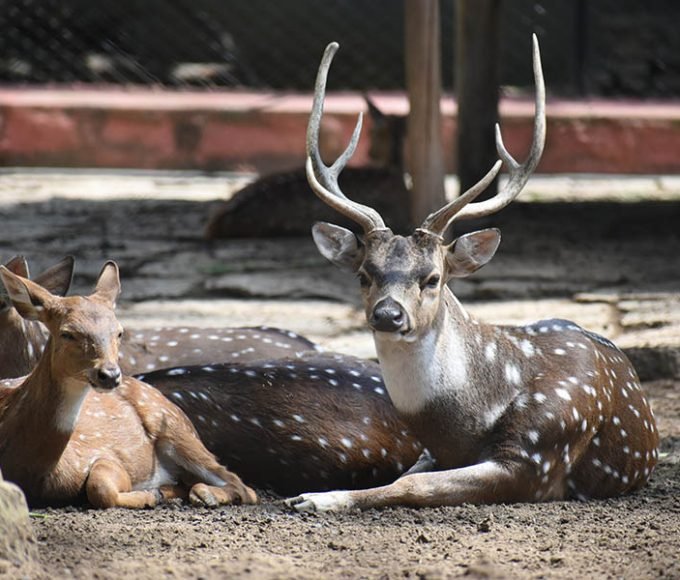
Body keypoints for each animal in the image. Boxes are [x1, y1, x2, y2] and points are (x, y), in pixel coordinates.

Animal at [0, 261, 257, 509]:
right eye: (67, 333)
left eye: (119, 332)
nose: (110, 374)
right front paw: (154, 494)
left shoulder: (105, 455)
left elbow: (100, 487)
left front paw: (149, 496)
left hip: (176, 429)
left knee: (243, 486)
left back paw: (202, 494)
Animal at [287, 37, 660, 512]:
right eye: (365, 275)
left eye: (432, 278)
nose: (388, 315)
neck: (462, 425)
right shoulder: (435, 451)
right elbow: (404, 473)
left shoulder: (536, 457)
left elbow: (412, 485)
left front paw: (317, 498)